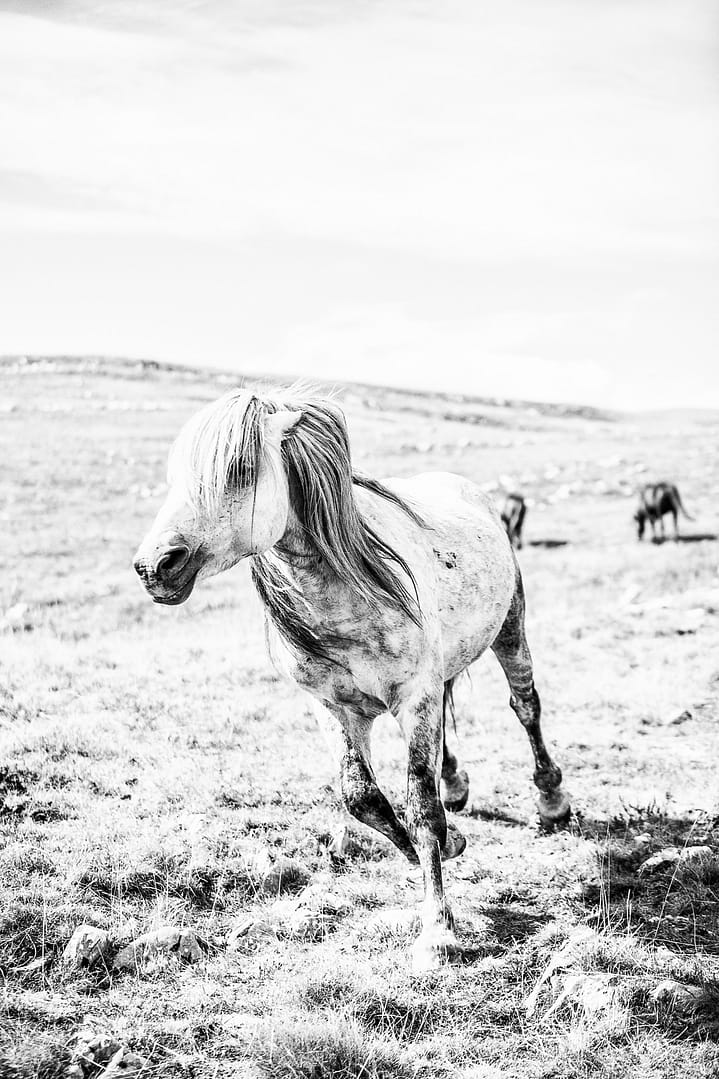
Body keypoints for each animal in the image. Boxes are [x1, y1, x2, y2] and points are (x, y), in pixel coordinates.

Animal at [133, 387, 570, 972]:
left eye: (241, 467)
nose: (154, 566)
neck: (348, 594)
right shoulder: (332, 708)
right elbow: (362, 797)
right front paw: (447, 842)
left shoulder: (414, 698)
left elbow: (419, 805)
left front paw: (438, 930)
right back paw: (457, 785)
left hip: (510, 630)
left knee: (526, 707)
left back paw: (552, 799)